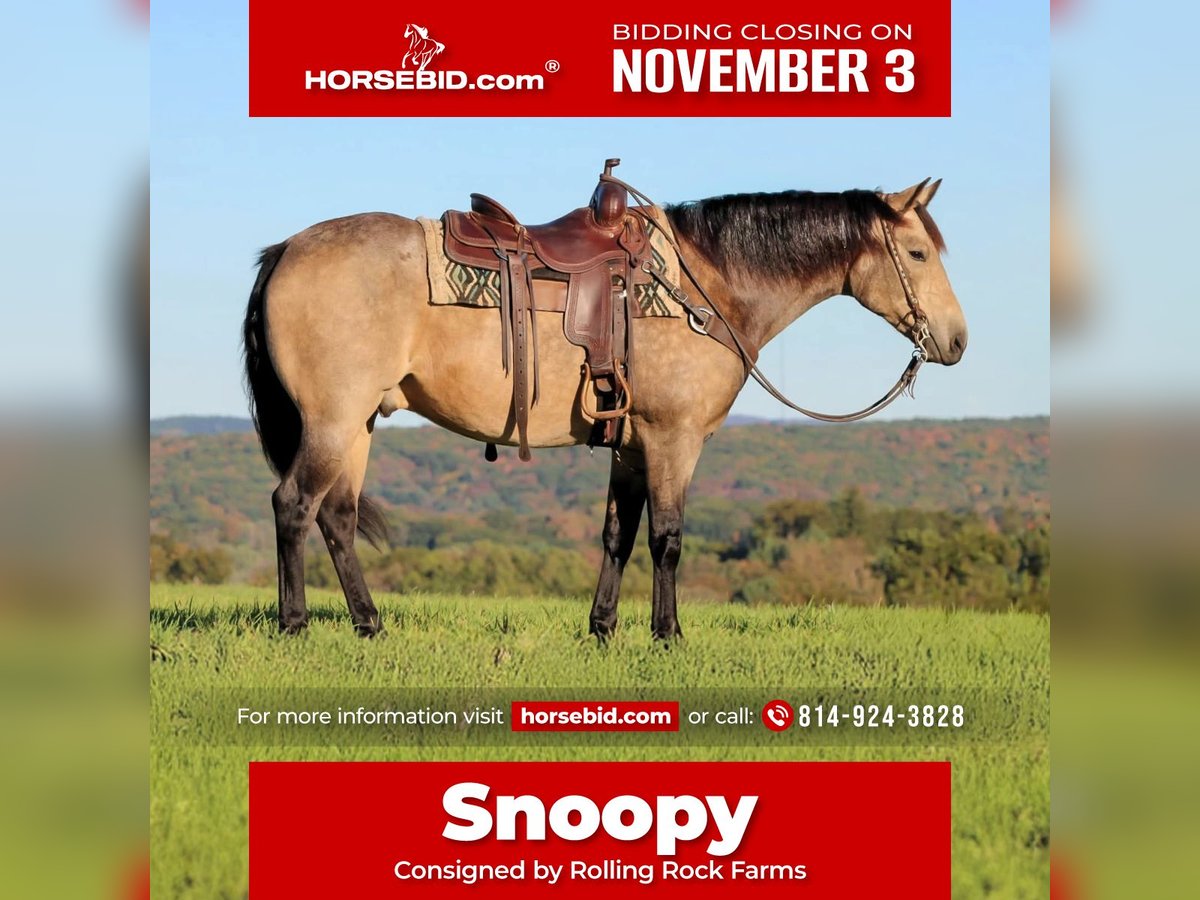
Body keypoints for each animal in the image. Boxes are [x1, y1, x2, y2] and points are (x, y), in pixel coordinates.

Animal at [242, 178, 966, 641]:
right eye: (916, 253)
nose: (956, 341)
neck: (708, 283)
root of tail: (286, 250)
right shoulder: (674, 441)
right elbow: (667, 539)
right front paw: (668, 634)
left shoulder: (632, 445)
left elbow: (618, 535)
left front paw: (604, 629)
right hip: (333, 421)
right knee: (293, 505)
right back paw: (295, 625)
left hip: (357, 424)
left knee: (337, 516)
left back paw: (369, 625)